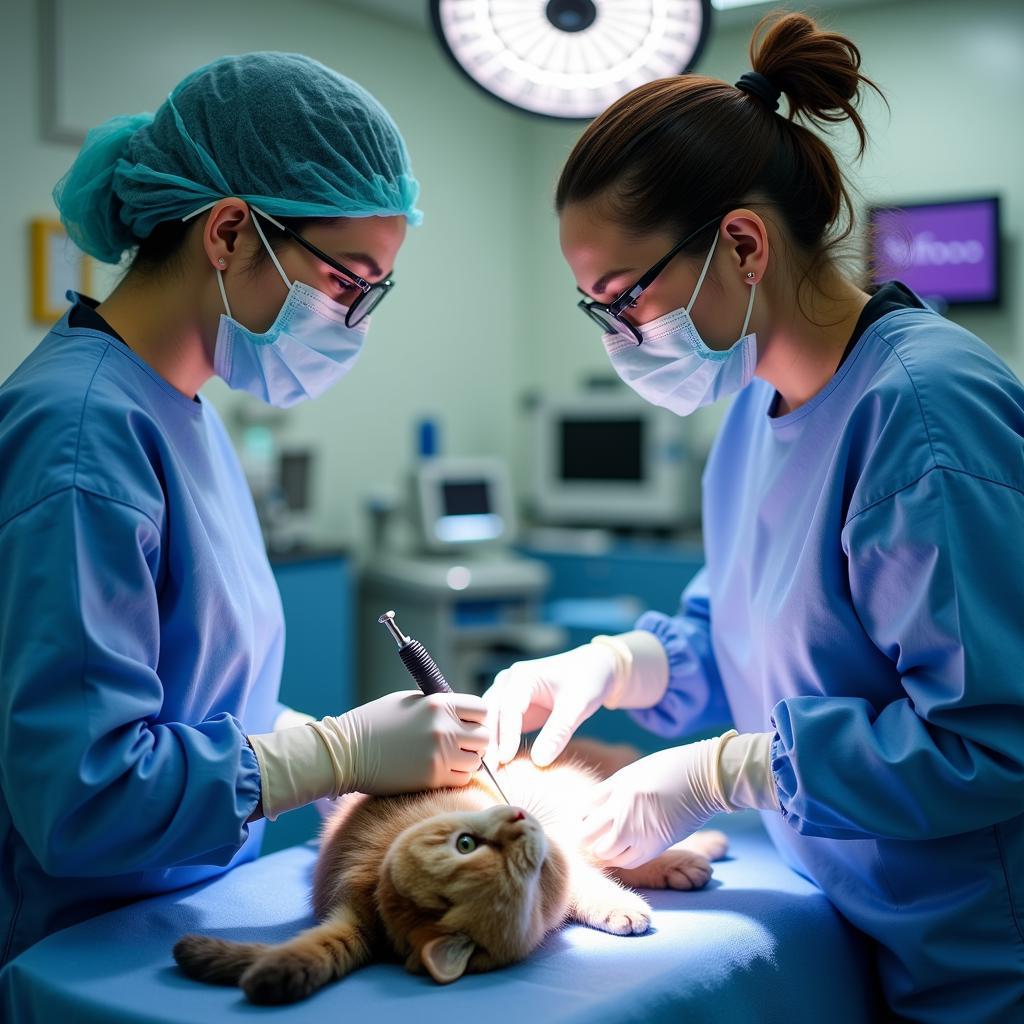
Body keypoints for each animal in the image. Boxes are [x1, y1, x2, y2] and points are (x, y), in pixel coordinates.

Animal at [172, 741, 724, 1003]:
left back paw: (699, 848)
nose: (521, 825)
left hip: (578, 804)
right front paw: (622, 908)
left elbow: (596, 875)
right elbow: (588, 884)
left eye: (465, 843)